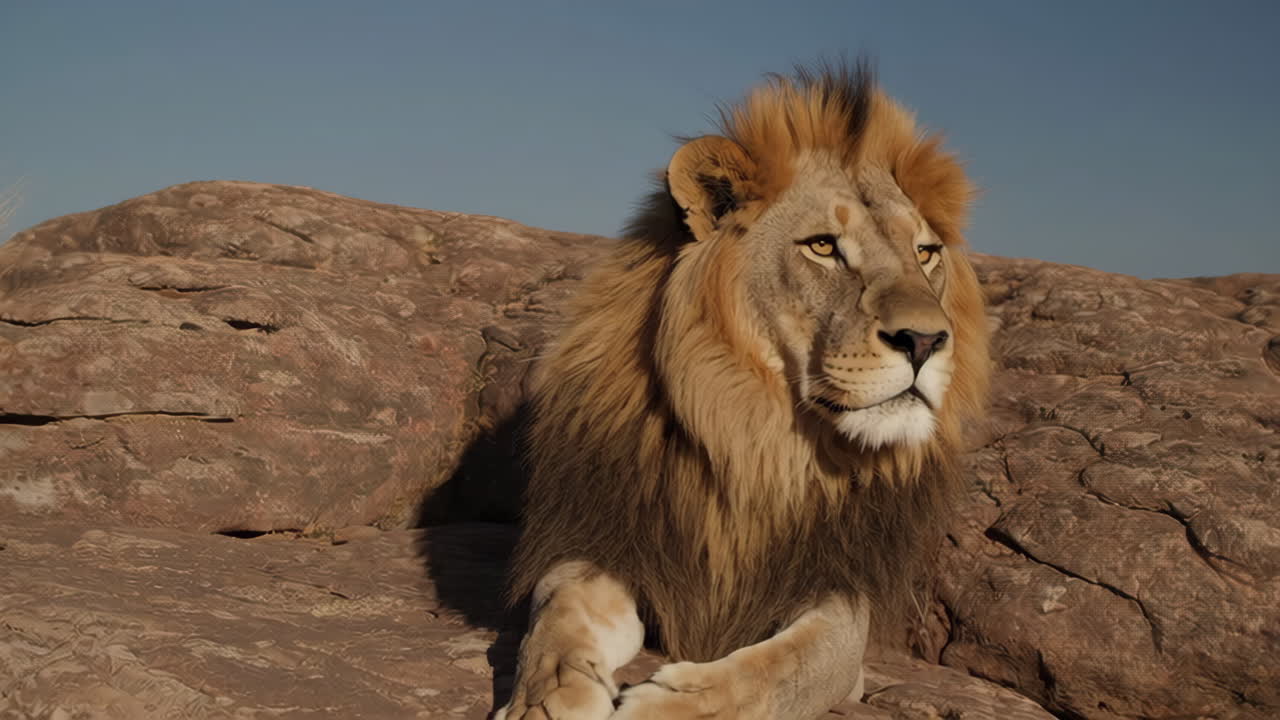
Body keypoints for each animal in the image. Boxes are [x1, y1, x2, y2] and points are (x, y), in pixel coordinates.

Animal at [495, 62, 990, 720]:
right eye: (823, 246)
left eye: (925, 252)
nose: (927, 340)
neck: (757, 437)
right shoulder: (600, 539)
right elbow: (559, 620)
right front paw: (546, 701)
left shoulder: (840, 600)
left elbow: (782, 668)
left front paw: (669, 705)